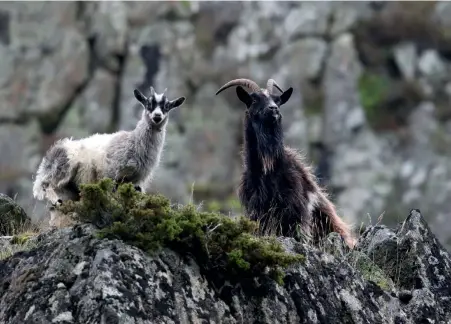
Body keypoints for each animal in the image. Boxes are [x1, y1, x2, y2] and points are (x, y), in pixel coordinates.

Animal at [32, 86, 185, 225]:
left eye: (166, 107)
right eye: (149, 104)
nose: (157, 116)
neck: (134, 141)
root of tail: (50, 155)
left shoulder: (137, 180)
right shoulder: (111, 173)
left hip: (69, 187)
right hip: (62, 169)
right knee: (46, 185)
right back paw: (55, 200)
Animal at [215, 78, 356, 248]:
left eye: (277, 100)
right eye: (254, 99)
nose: (274, 109)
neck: (268, 170)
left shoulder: (296, 209)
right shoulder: (257, 210)